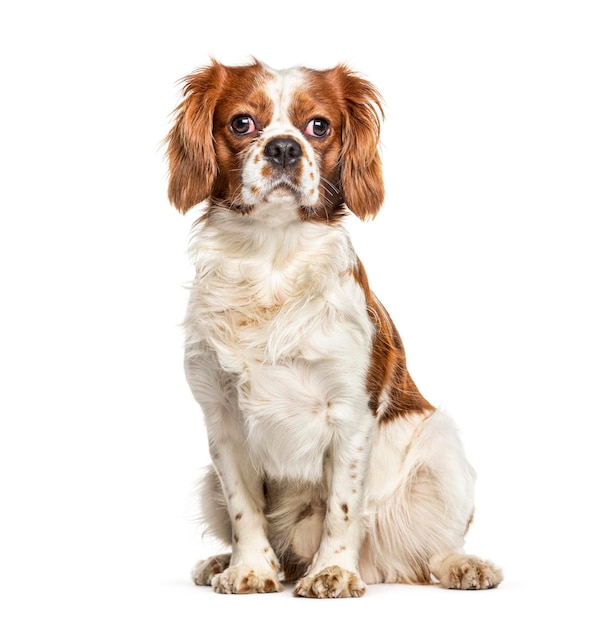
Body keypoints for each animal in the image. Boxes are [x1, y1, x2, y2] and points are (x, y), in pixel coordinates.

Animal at [166, 59, 502, 596]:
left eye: (318, 126)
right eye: (242, 123)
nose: (284, 147)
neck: (271, 262)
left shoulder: (350, 411)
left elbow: (343, 508)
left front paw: (333, 572)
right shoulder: (220, 417)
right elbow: (244, 509)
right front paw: (249, 568)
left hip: (441, 446)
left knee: (432, 550)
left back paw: (464, 567)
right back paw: (220, 563)